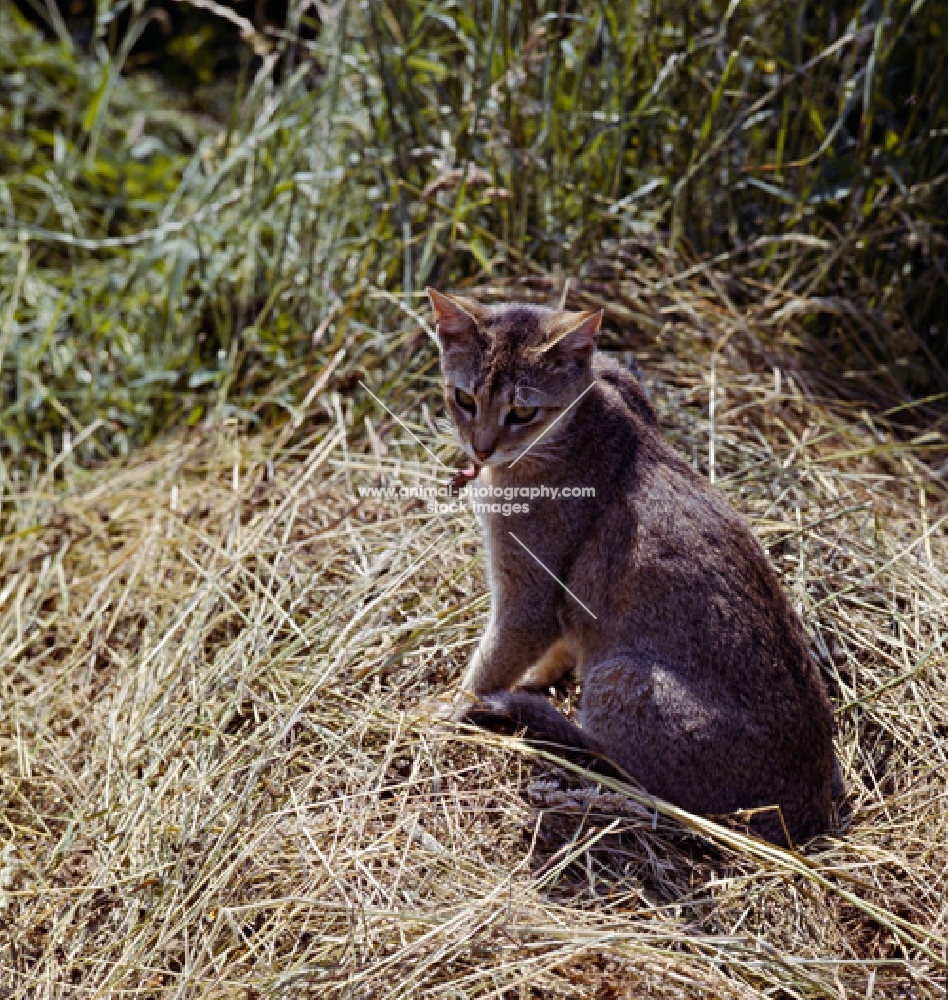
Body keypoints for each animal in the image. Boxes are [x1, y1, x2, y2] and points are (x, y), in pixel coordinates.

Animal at [428, 288, 836, 844]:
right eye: (464, 398)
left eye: (523, 411)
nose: (481, 447)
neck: (585, 416)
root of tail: (811, 812)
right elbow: (556, 648)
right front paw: (532, 680)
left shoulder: (528, 596)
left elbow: (488, 665)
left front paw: (450, 708)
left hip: (619, 676)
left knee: (619, 769)